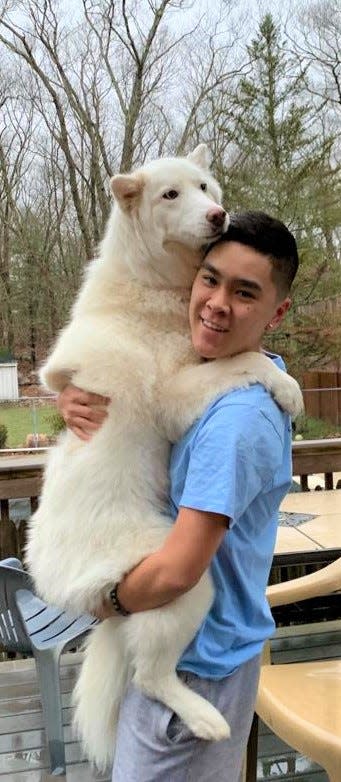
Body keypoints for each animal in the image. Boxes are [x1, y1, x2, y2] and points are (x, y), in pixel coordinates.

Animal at [26, 147, 302, 772]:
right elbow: (246, 360)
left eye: (204, 188)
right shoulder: (177, 395)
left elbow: (243, 355)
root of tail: (55, 583)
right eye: (169, 196)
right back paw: (202, 717)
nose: (220, 216)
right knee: (150, 677)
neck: (152, 283)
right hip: (185, 580)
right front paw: (288, 387)